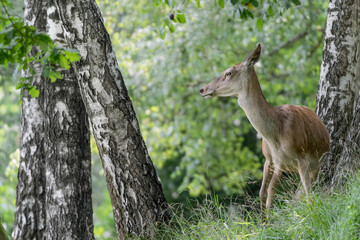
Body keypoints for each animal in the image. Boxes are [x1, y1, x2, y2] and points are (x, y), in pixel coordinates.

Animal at [200, 42, 330, 218]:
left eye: (228, 72)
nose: (202, 89)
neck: (274, 135)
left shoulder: (289, 159)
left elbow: (270, 195)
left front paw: (271, 222)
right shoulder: (269, 160)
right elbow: (262, 193)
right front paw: (262, 222)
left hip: (313, 164)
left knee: (307, 192)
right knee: (300, 193)